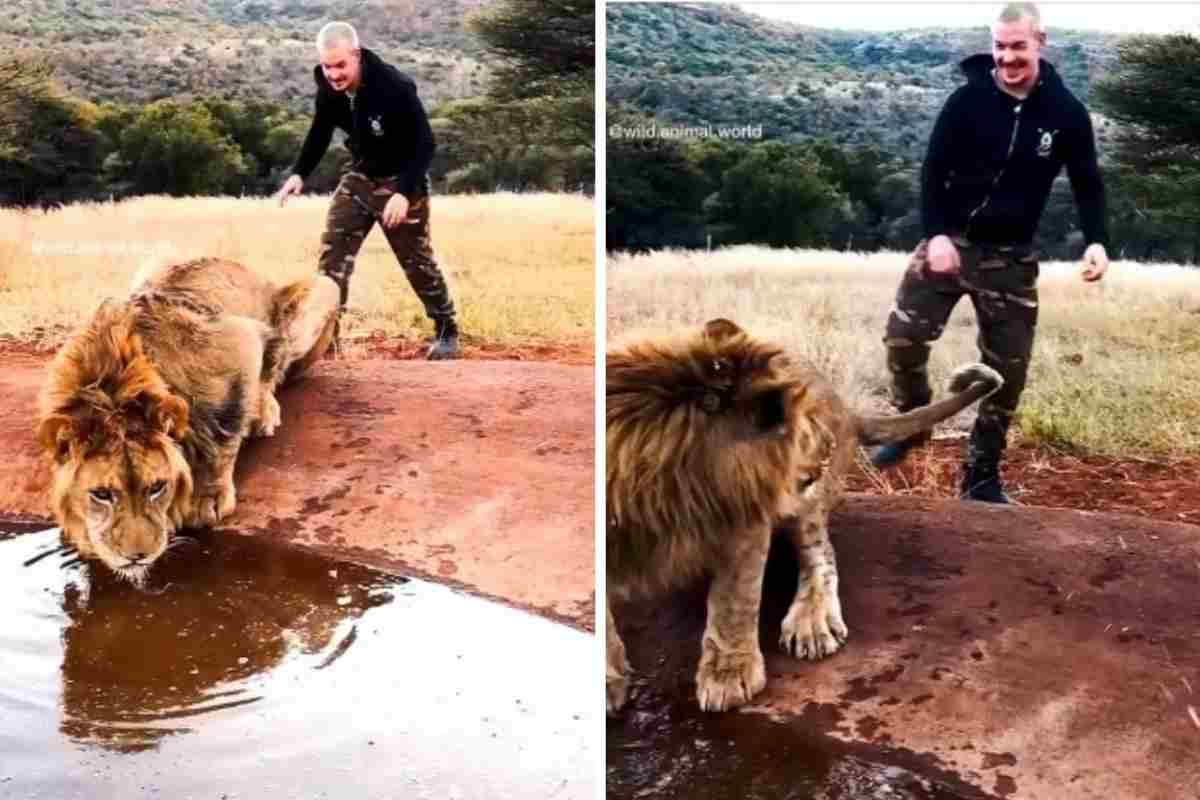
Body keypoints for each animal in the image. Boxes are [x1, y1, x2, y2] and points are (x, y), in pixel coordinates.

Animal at [38, 260, 338, 585]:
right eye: (101, 495)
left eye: (157, 487)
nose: (137, 557)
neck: (112, 385)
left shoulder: (238, 340)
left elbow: (224, 429)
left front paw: (208, 498)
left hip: (325, 288)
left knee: (276, 369)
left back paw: (265, 413)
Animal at [604, 316, 998, 714]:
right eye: (799, 428)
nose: (828, 448)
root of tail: (845, 412)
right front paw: (608, 683)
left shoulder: (749, 514)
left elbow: (734, 600)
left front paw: (729, 673)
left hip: (805, 506)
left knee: (822, 555)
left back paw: (812, 624)